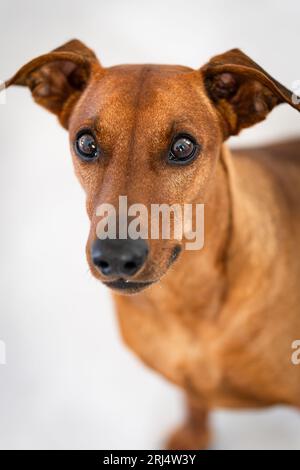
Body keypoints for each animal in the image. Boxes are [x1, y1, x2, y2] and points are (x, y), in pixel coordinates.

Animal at [3, 39, 300, 448]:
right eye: (85, 143)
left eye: (183, 147)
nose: (115, 257)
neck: (186, 304)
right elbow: (194, 401)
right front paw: (192, 435)